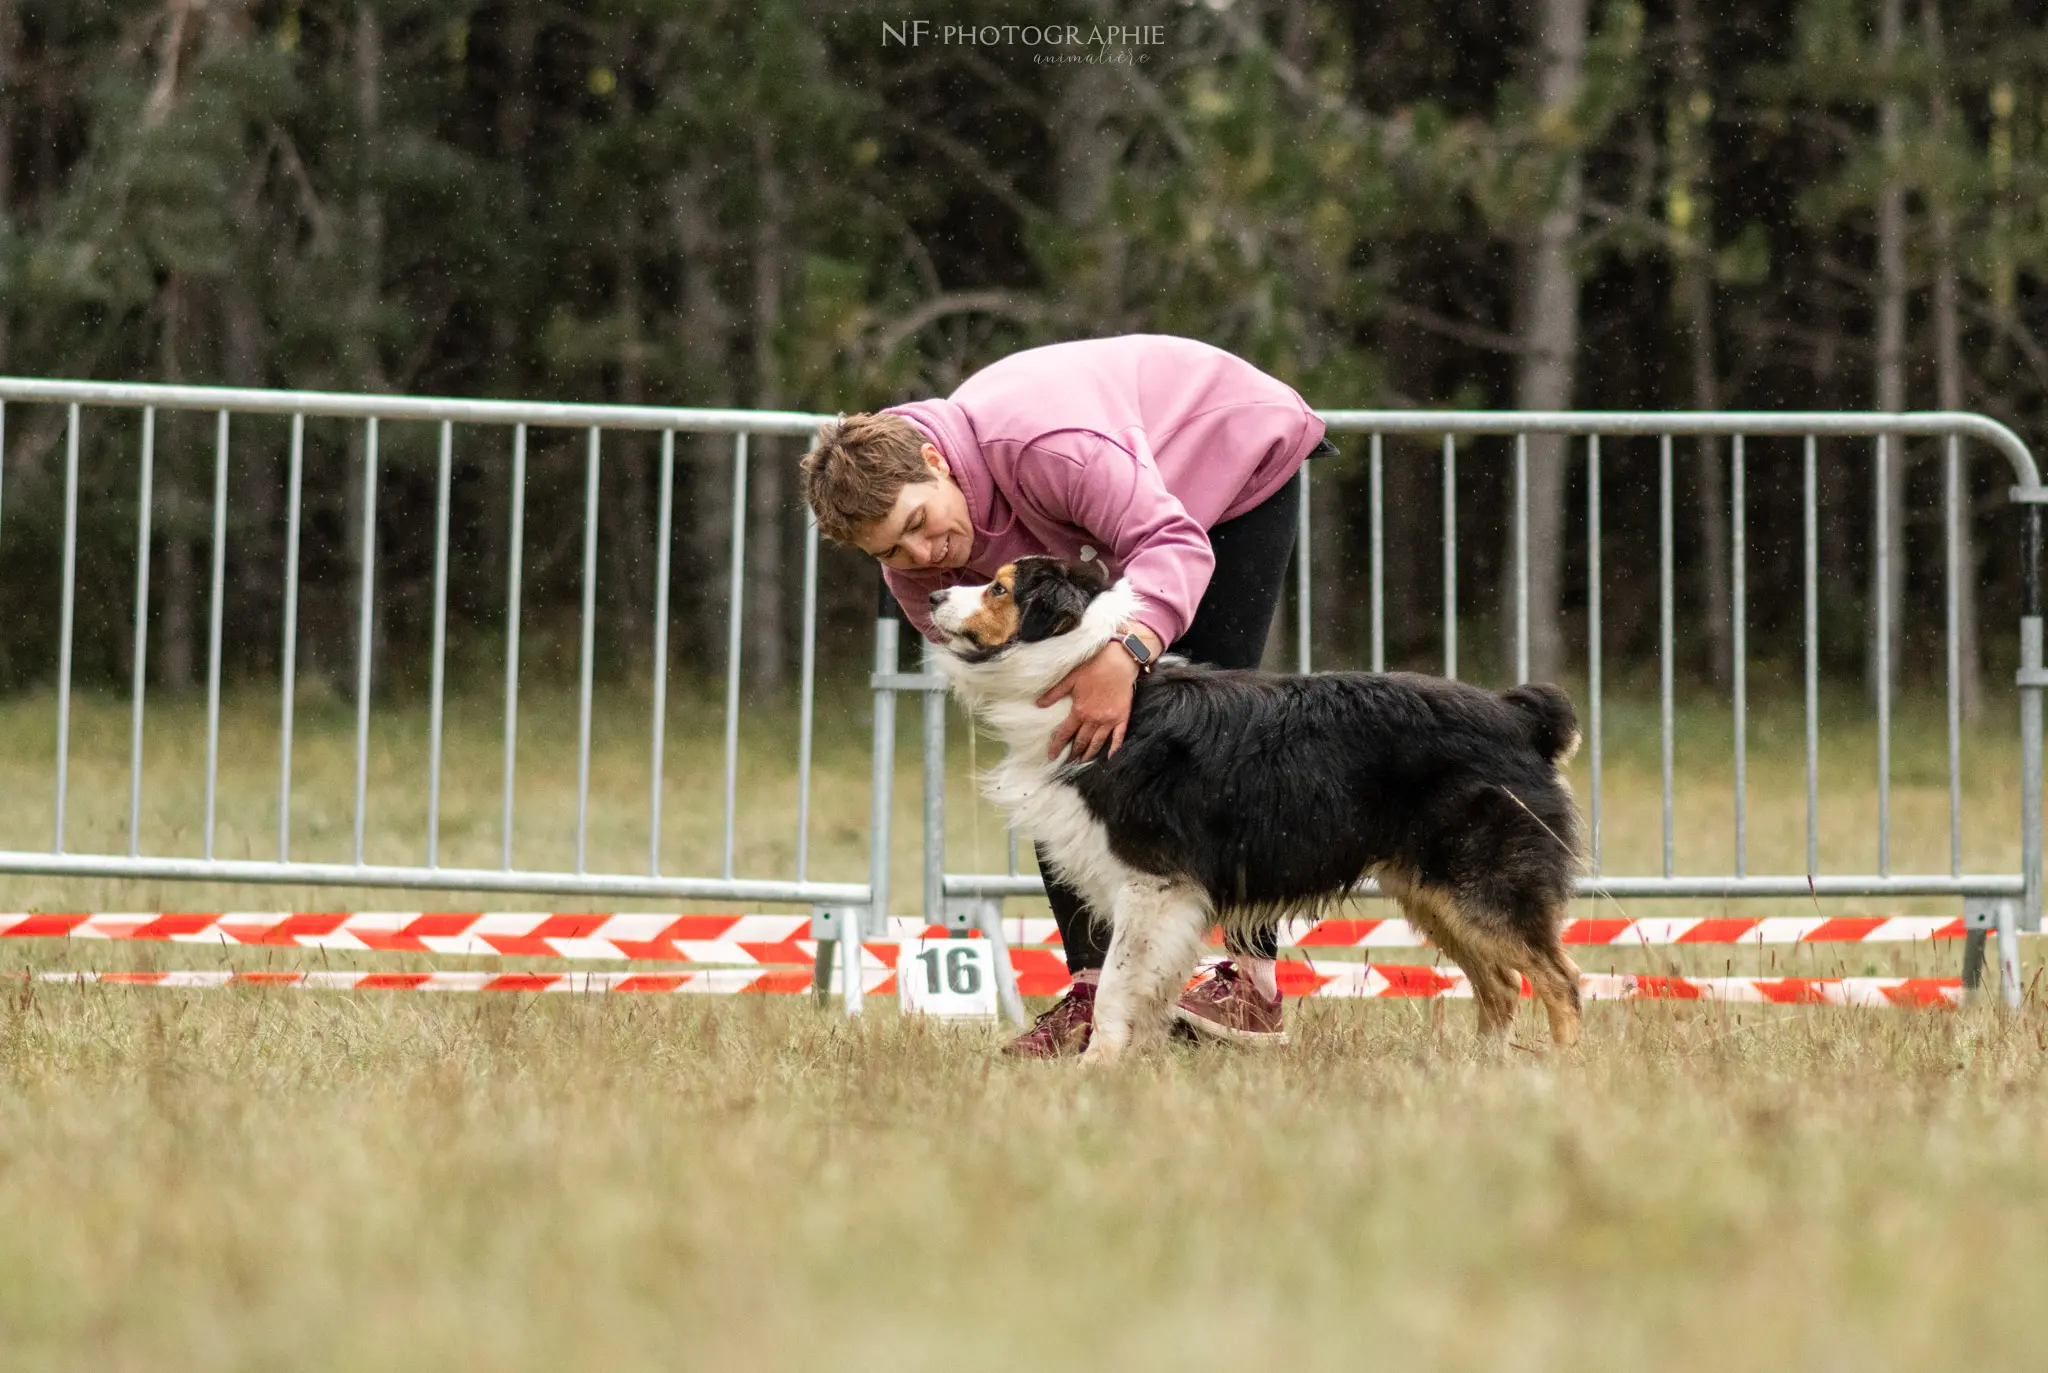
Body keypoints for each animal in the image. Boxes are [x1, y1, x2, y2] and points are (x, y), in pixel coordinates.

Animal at [929, 557, 1581, 1065]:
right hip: (1431, 889)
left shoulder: (1154, 882)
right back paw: (1481, 1071)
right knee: (1501, 983)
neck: (1082, 671)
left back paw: (1559, 1072)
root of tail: (1517, 715)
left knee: (1561, 980)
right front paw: (1139, 1062)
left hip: (1482, 882)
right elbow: (1149, 987)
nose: (933, 596)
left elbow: (1117, 981)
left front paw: (1098, 1066)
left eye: (999, 589)